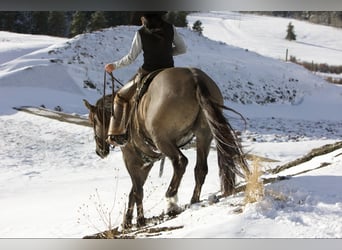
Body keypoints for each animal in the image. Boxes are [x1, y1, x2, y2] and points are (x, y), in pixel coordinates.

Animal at [83, 67, 248, 229]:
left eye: (92, 121)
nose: (99, 151)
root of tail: (195, 77)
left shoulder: (130, 158)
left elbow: (137, 190)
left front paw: (138, 220)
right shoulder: (146, 163)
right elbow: (134, 190)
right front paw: (128, 220)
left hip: (163, 140)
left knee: (181, 162)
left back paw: (171, 200)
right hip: (204, 134)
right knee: (200, 169)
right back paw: (193, 200)